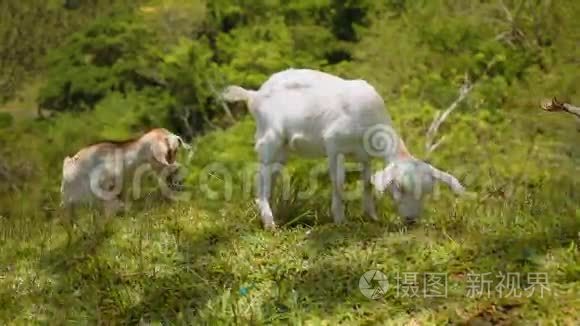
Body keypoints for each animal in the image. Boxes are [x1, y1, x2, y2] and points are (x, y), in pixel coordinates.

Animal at [223, 67, 466, 228]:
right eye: (399, 187)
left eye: (426, 193)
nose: (411, 220)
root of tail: (253, 95)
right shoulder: (334, 145)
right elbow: (338, 183)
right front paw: (340, 220)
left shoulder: (365, 156)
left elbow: (367, 183)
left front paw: (372, 217)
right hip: (270, 138)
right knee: (261, 178)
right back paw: (270, 223)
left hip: (282, 149)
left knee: (271, 175)